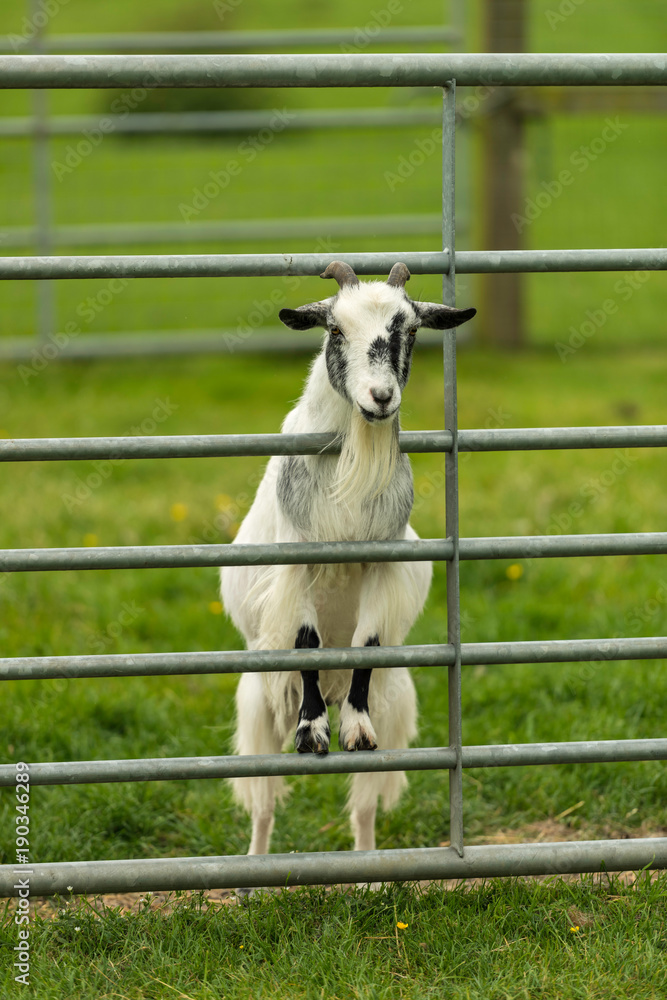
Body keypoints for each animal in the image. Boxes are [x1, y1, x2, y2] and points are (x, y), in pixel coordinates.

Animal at [221, 261, 476, 857]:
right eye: (335, 330)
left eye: (410, 330)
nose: (381, 397)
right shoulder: (297, 565)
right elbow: (307, 642)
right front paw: (313, 731)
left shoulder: (381, 566)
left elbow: (368, 643)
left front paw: (352, 730)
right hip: (259, 704)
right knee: (263, 805)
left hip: (395, 700)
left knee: (363, 807)